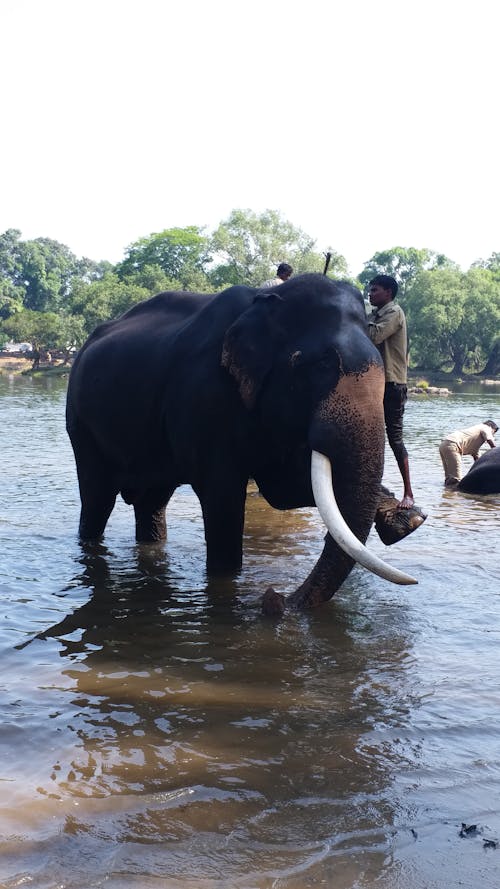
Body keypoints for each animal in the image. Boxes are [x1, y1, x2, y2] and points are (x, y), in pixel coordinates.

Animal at [64, 274, 420, 612]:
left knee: (152, 503)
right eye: (318, 365)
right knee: (97, 499)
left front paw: (404, 520)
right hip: (80, 422)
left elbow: (284, 488)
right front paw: (226, 580)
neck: (264, 302)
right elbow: (223, 496)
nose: (274, 598)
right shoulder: (203, 396)